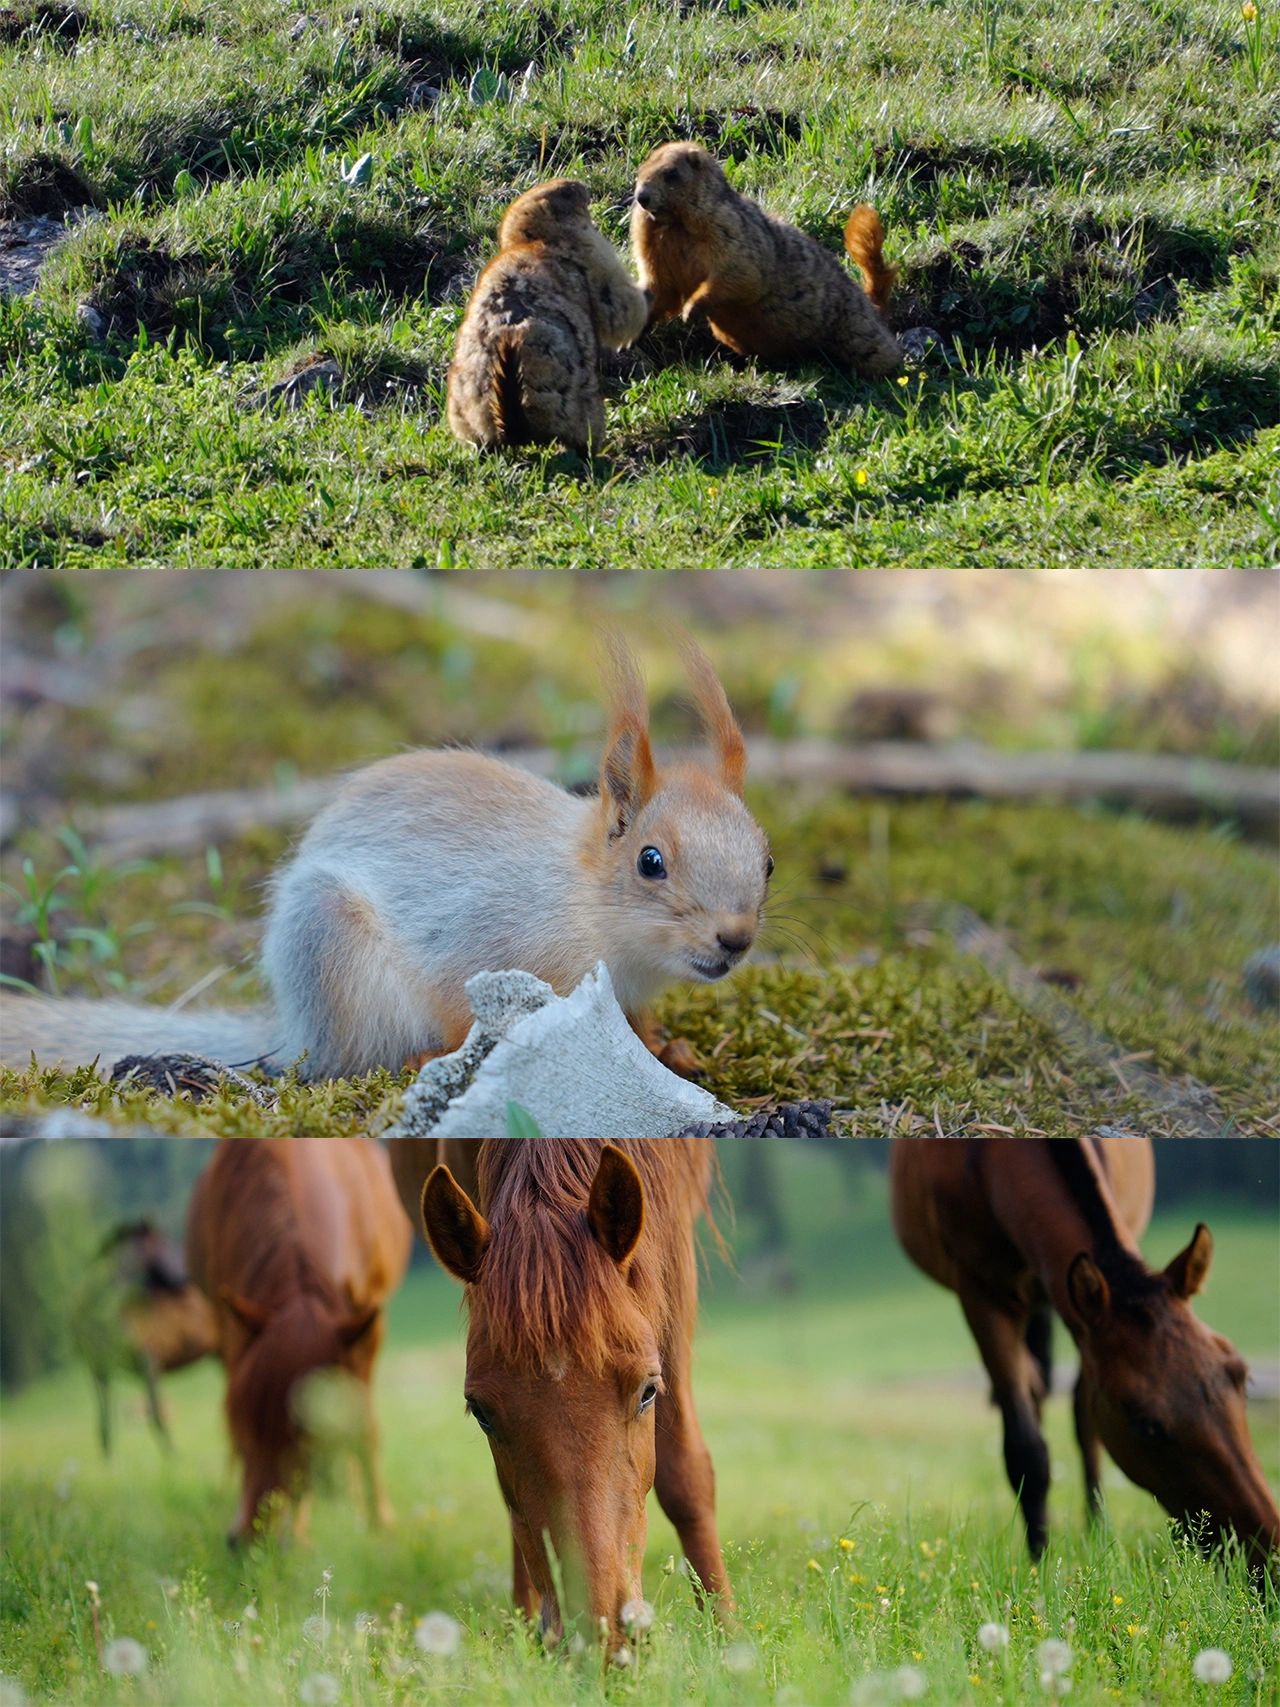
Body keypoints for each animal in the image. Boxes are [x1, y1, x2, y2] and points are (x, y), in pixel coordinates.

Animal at [71, 1215, 218, 1454]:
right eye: (166, 1244)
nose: (189, 1275)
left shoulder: (148, 1362)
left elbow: (156, 1414)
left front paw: (173, 1457)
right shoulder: (97, 1370)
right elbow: (105, 1426)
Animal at [186, 1140, 411, 1543]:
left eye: (309, 1438)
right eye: (244, 1422)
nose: (247, 1539)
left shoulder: (366, 1327)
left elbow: (362, 1427)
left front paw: (379, 1520)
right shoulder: (234, 1330)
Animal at [390, 1140, 730, 1645]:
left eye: (648, 1392)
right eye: (479, 1411)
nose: (600, 1633)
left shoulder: (673, 1242)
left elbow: (685, 1473)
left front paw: (729, 1633)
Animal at [894, 1140, 1280, 1577]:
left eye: (1242, 1377)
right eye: (1145, 1426)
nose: (1266, 1553)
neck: (985, 1161)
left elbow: (1086, 1420)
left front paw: (1095, 1540)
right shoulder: (982, 1295)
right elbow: (1027, 1451)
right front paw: (1039, 1564)